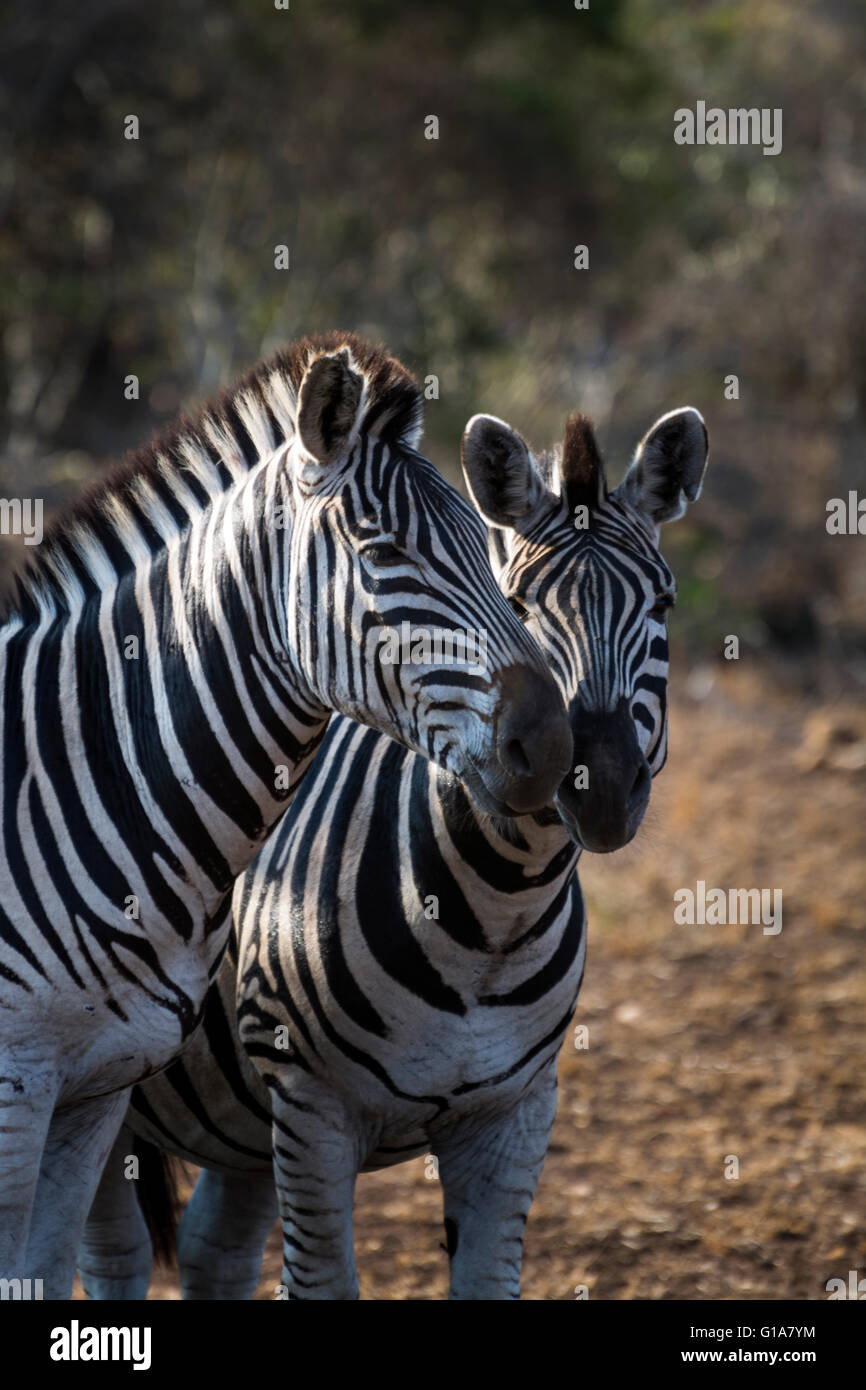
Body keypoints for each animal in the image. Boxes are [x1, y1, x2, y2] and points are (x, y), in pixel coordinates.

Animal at [0, 333, 572, 1297]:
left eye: (485, 548)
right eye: (382, 551)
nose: (552, 742)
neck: (73, 775)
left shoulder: (92, 1086)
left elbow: (43, 1267)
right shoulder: (17, 1083)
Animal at [79, 401, 708, 1300]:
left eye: (662, 603)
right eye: (519, 603)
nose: (598, 783)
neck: (497, 913)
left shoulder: (517, 1114)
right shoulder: (312, 1109)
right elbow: (320, 1283)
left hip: (242, 1117)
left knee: (214, 1252)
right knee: (117, 1251)